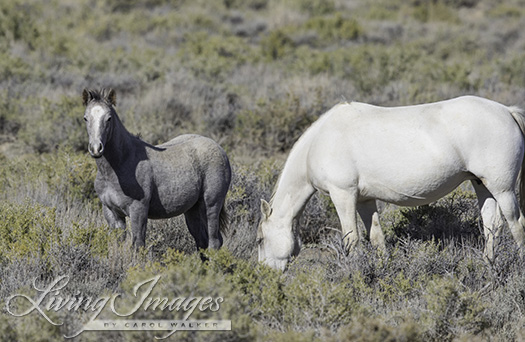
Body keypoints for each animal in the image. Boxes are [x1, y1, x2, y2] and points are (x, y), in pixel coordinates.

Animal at [256, 95, 524, 270]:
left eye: (259, 239)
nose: (264, 274)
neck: (319, 143)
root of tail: (506, 111)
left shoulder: (343, 194)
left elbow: (352, 239)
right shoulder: (365, 200)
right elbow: (376, 238)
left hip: (503, 189)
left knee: (516, 224)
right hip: (482, 185)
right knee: (492, 225)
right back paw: (487, 264)